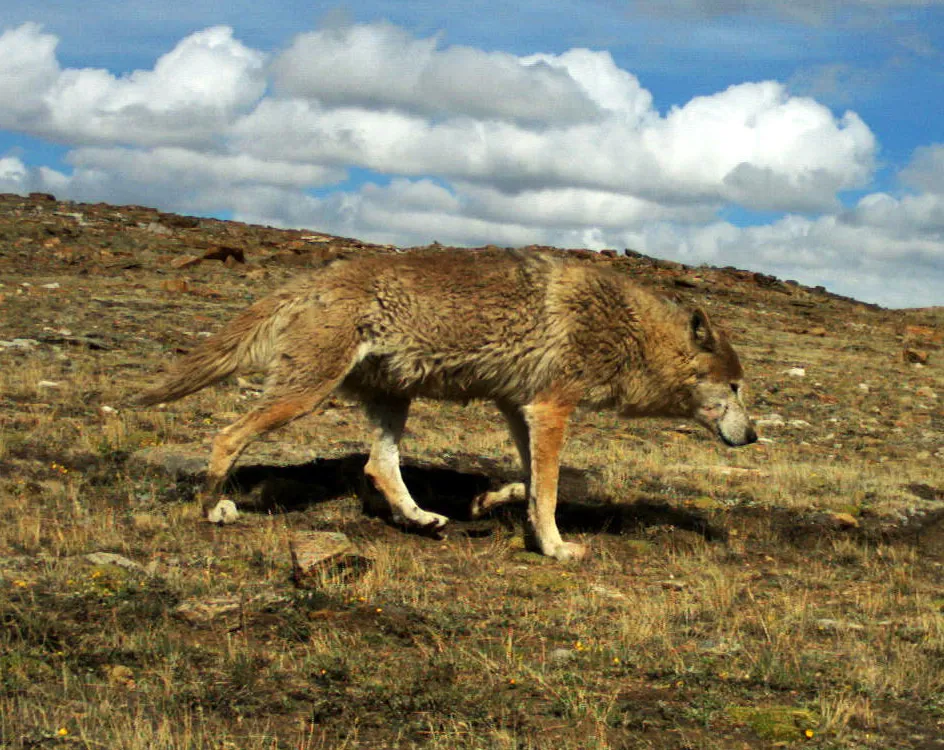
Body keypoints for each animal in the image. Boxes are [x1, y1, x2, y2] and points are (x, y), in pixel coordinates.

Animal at [140, 250, 756, 560]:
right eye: (734, 388)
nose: (752, 437)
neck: (627, 330)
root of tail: (313, 278)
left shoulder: (518, 409)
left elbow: (529, 483)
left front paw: (490, 504)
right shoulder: (550, 410)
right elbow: (551, 492)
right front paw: (556, 548)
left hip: (394, 401)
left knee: (378, 466)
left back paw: (421, 519)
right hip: (304, 396)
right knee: (227, 436)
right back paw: (214, 508)